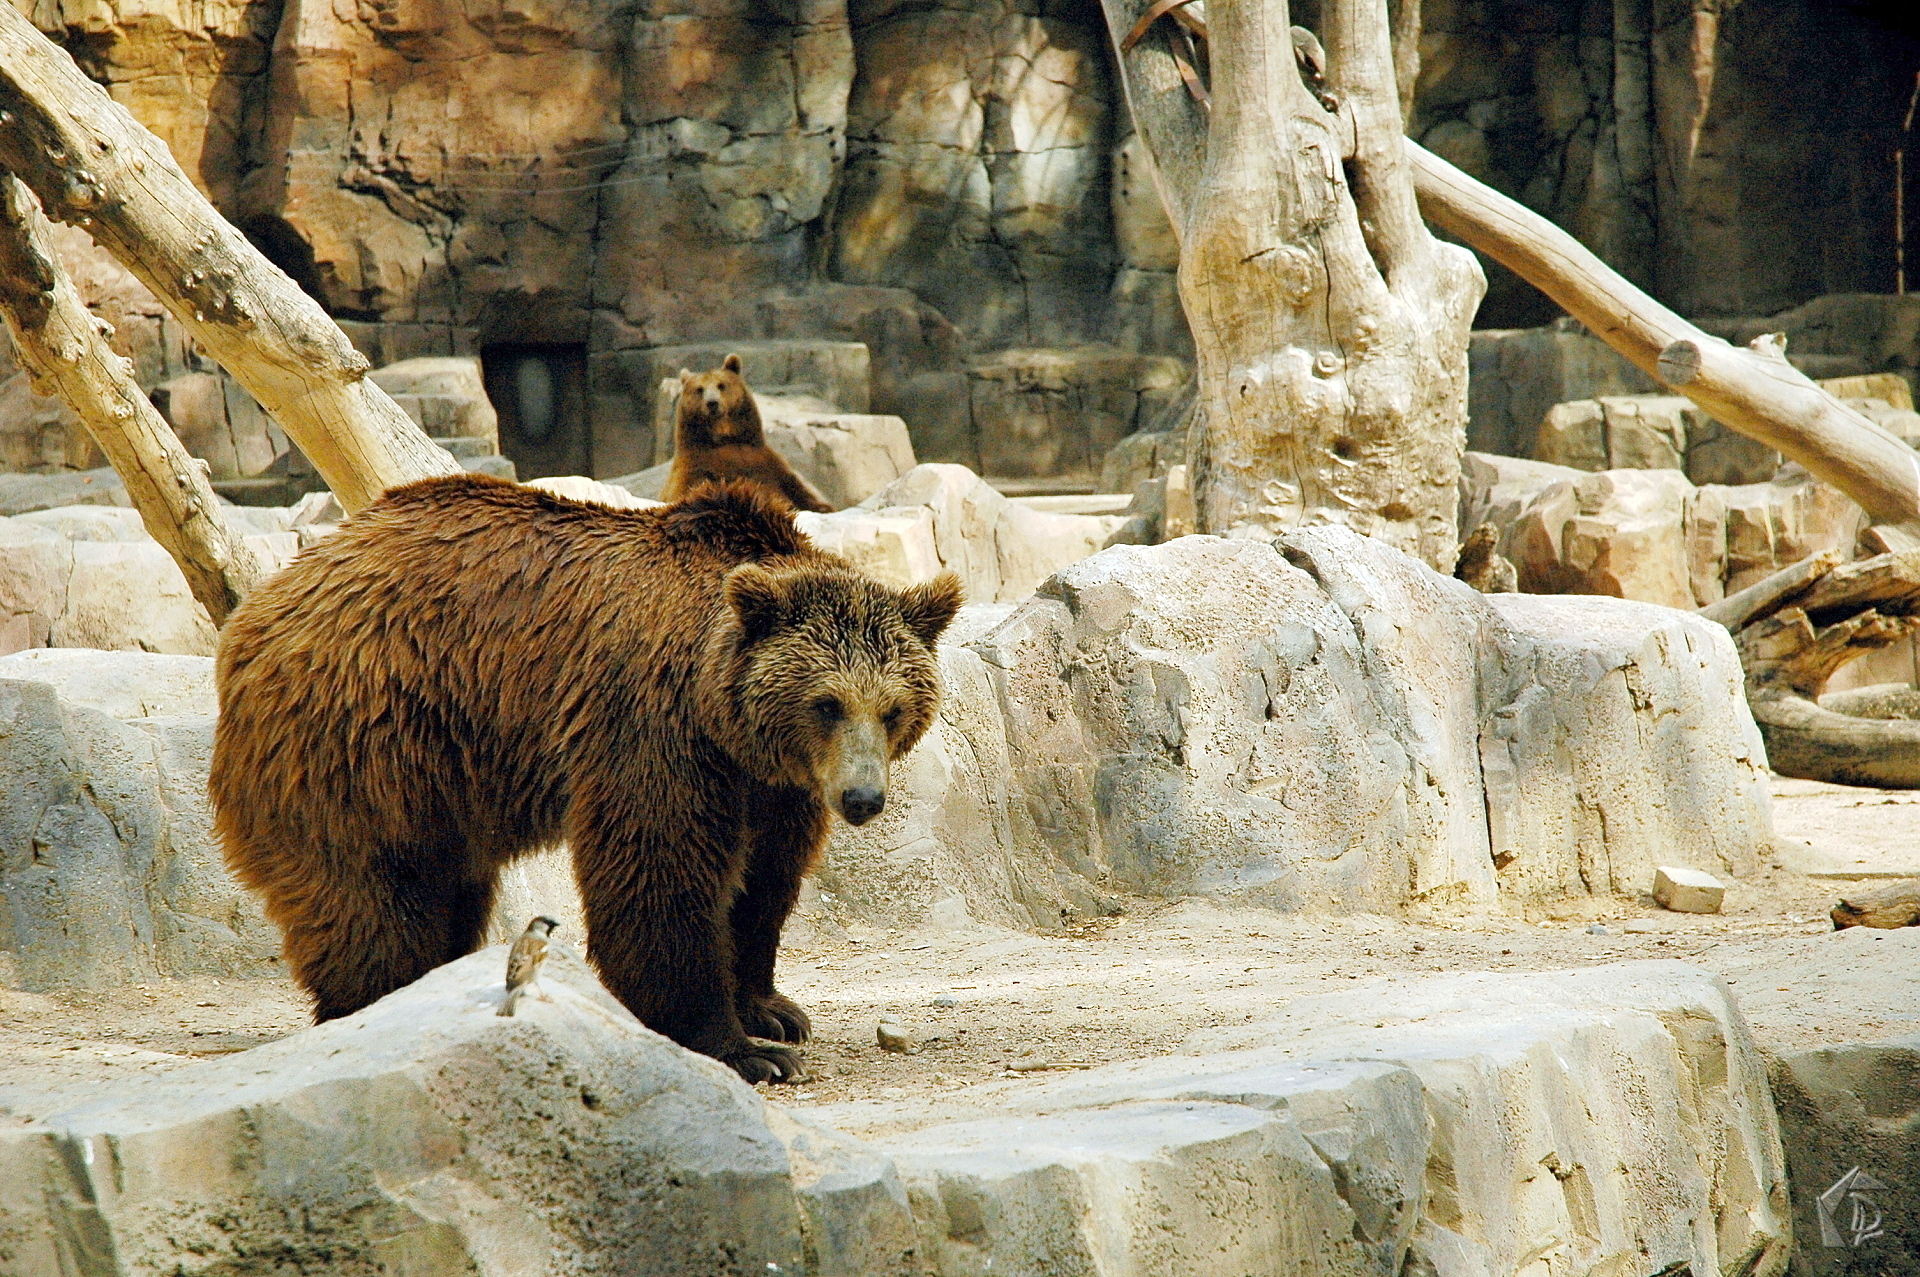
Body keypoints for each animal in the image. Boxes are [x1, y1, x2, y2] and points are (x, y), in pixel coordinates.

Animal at [210, 472, 961, 1083]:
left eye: (894, 707)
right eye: (827, 702)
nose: (862, 798)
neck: (724, 714)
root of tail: (268, 597)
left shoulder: (772, 781)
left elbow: (766, 879)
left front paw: (772, 1010)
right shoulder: (654, 723)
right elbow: (660, 869)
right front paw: (740, 1048)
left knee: (448, 883)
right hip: (368, 733)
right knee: (372, 889)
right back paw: (376, 1001)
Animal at [662, 354, 835, 513]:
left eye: (721, 385)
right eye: (699, 389)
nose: (712, 403)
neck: (725, 437)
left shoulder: (767, 463)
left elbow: (802, 493)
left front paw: (822, 507)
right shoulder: (697, 466)